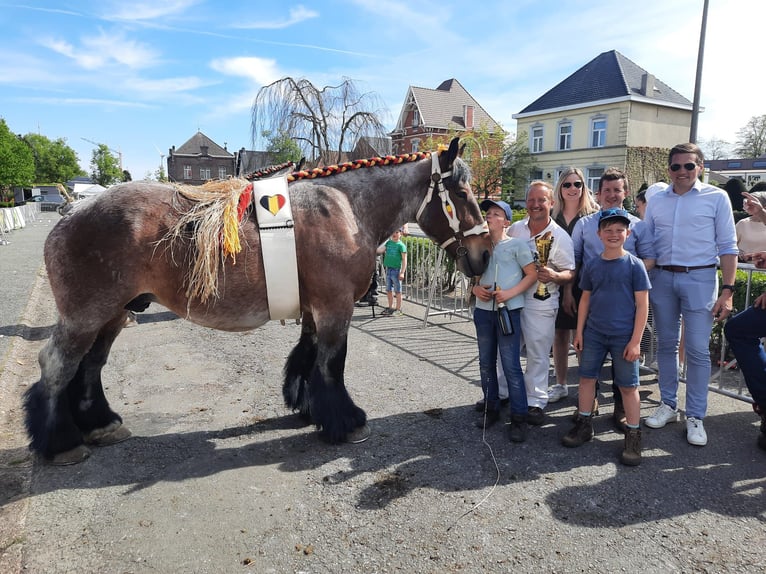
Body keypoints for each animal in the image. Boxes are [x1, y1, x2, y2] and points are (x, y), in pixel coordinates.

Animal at [25, 137, 492, 466]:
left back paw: (99, 424)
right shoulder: (335, 307)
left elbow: (307, 357)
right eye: (462, 193)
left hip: (112, 314)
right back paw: (60, 442)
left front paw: (307, 407)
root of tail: (72, 211)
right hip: (87, 315)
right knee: (57, 365)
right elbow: (331, 365)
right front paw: (344, 420)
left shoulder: (314, 309)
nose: (484, 254)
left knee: (90, 366)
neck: (347, 209)